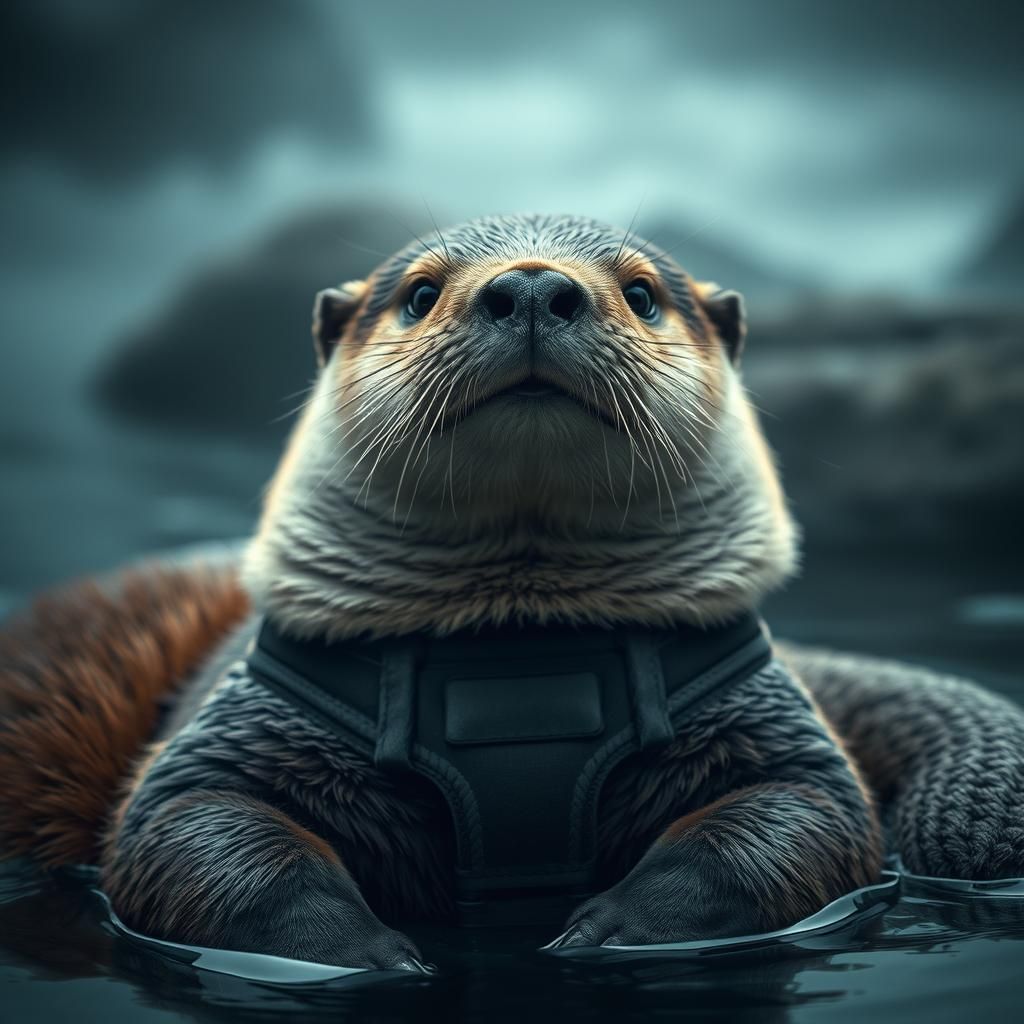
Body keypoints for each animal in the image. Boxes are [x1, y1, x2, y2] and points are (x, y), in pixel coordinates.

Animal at [2, 214, 1023, 972]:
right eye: (419, 292)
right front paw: (370, 952)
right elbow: (193, 832)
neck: (516, 655)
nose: (532, 286)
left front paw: (613, 931)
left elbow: (793, 822)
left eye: (643, 292)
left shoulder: (770, 728)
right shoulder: (232, 734)